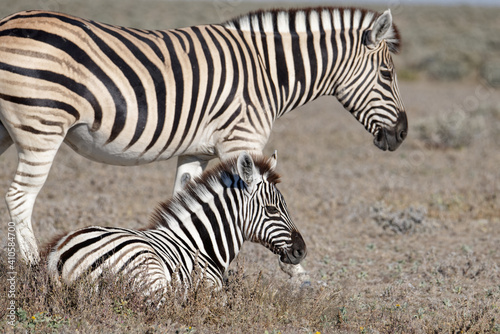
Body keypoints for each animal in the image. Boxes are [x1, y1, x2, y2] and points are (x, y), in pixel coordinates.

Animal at [0, 6, 406, 264]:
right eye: (387, 74)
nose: (401, 134)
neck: (267, 72)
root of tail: (9, 21)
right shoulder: (241, 141)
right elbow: (243, 202)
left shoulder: (196, 151)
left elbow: (187, 200)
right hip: (42, 126)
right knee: (20, 197)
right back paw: (32, 270)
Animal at [45, 153, 306, 294]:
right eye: (272, 209)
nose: (301, 250)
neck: (202, 245)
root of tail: (61, 256)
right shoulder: (211, 290)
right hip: (151, 275)